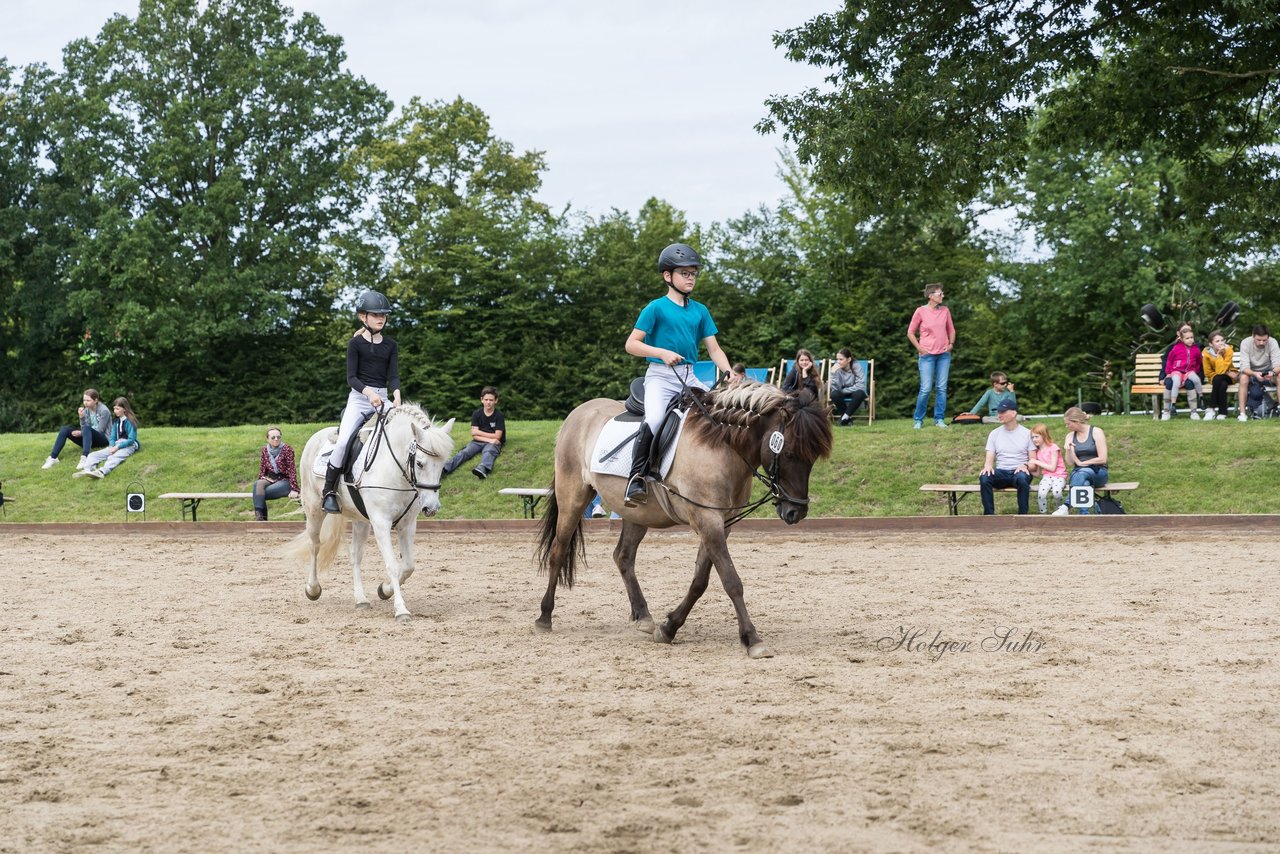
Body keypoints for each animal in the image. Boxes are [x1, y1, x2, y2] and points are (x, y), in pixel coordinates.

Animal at [286, 404, 455, 624]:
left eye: (443, 465)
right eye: (419, 463)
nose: (432, 508)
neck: (395, 470)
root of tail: (317, 435)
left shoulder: (407, 524)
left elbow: (408, 566)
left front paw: (385, 590)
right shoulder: (381, 523)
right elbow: (392, 565)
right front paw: (401, 610)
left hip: (361, 521)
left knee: (355, 556)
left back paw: (361, 600)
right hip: (314, 509)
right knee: (315, 545)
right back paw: (313, 589)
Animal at [529, 384, 829, 660]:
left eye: (813, 458)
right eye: (789, 453)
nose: (796, 512)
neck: (721, 447)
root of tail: (579, 411)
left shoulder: (721, 523)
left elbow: (700, 581)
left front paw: (669, 627)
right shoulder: (708, 521)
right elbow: (731, 580)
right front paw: (752, 639)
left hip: (637, 514)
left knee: (623, 556)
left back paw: (643, 616)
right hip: (573, 497)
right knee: (558, 551)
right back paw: (544, 617)